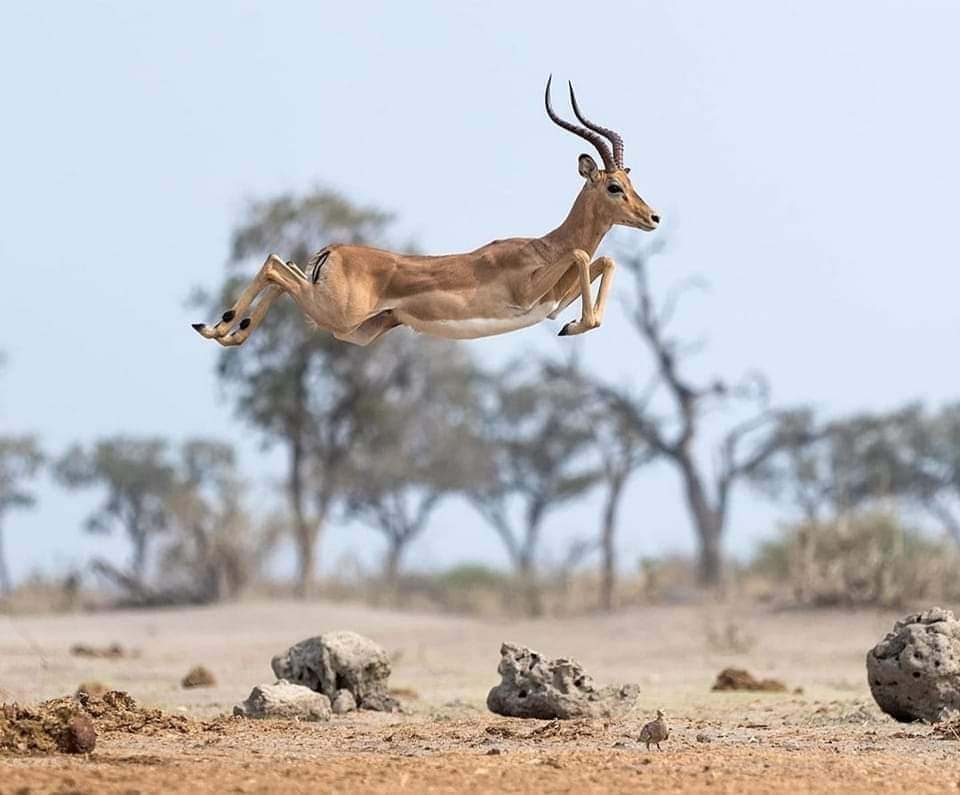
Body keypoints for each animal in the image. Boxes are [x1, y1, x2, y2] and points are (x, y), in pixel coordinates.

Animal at [193, 77, 660, 347]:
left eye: (630, 180)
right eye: (614, 187)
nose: (653, 218)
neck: (544, 247)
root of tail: (332, 252)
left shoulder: (553, 302)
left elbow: (605, 260)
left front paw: (574, 326)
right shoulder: (527, 294)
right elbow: (585, 254)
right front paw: (577, 326)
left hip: (353, 330)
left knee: (284, 269)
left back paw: (229, 331)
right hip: (336, 313)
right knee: (275, 263)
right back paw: (218, 327)